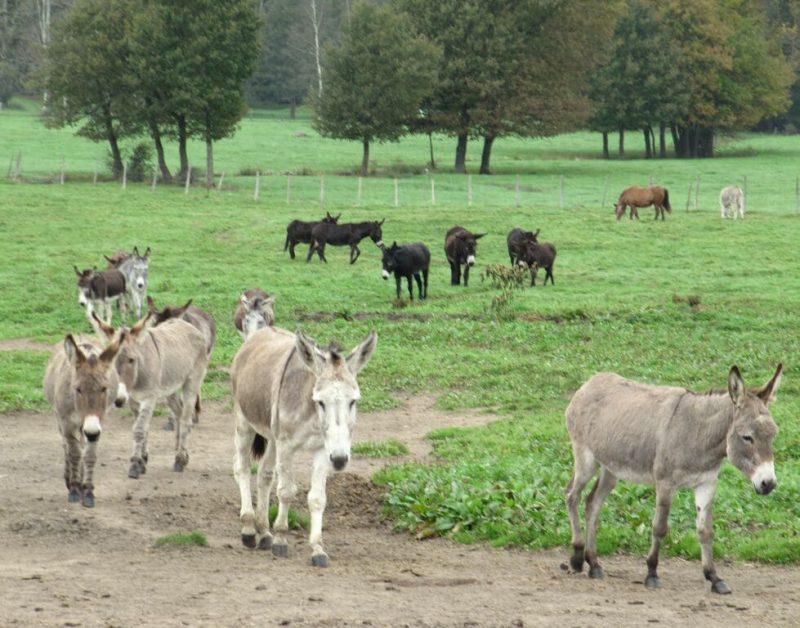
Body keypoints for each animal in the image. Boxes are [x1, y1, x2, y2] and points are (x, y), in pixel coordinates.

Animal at [44, 334, 123, 506]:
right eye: (78, 389)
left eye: (104, 388)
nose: (91, 432)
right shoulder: (67, 422)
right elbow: (74, 453)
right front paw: (74, 489)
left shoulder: (98, 424)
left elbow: (89, 455)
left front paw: (87, 491)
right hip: (60, 418)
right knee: (66, 446)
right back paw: (70, 479)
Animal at [97, 312, 211, 478]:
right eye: (109, 360)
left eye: (131, 360)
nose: (118, 400)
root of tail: (190, 326)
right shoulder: (133, 400)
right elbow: (143, 428)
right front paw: (142, 461)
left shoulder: (149, 398)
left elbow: (139, 429)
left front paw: (135, 465)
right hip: (170, 387)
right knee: (178, 412)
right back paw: (181, 453)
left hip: (192, 382)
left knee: (186, 419)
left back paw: (179, 460)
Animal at [230, 326, 376, 568]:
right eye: (321, 402)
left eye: (353, 401)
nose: (340, 460)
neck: (311, 412)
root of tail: (262, 330)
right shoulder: (287, 445)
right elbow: (286, 491)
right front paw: (281, 538)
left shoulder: (322, 449)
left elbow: (317, 498)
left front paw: (317, 549)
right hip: (244, 423)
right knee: (242, 468)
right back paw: (249, 528)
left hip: (272, 436)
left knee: (264, 474)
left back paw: (264, 532)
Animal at [564, 364, 784, 592]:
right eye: (747, 437)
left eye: (773, 434)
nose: (769, 484)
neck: (698, 433)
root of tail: (590, 383)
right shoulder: (665, 483)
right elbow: (659, 527)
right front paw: (652, 573)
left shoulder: (707, 483)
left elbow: (706, 531)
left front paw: (714, 577)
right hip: (586, 459)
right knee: (572, 495)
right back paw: (577, 557)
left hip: (612, 468)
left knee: (593, 503)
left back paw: (594, 564)